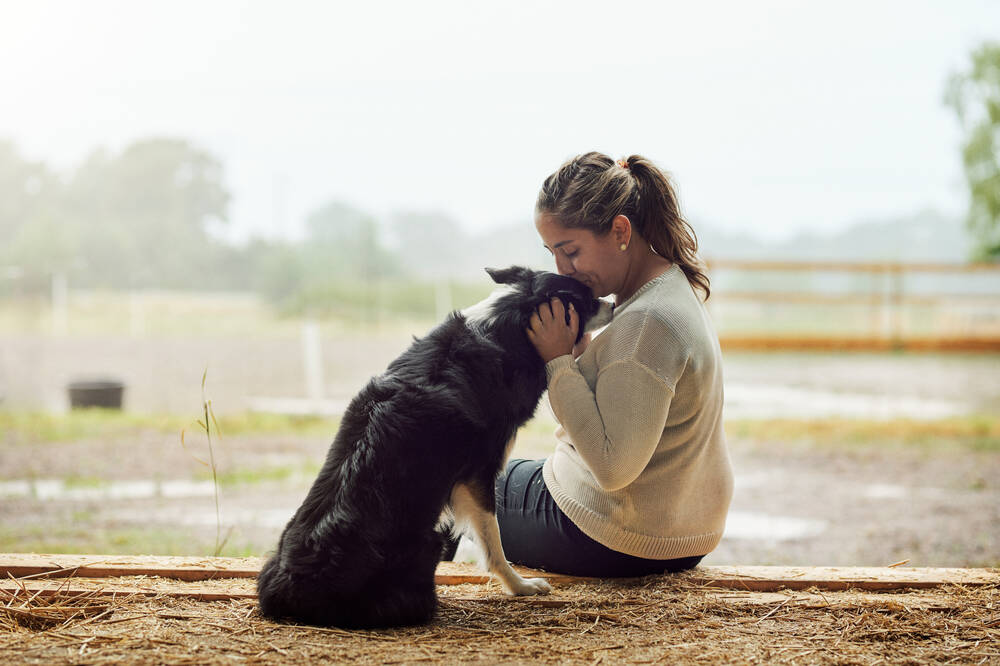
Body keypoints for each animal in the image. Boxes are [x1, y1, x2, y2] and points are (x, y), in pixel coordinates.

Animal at [254, 262, 612, 624]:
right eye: (586, 299)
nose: (612, 305)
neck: (506, 324)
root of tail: (289, 590)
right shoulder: (479, 472)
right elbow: (493, 539)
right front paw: (520, 585)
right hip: (430, 542)